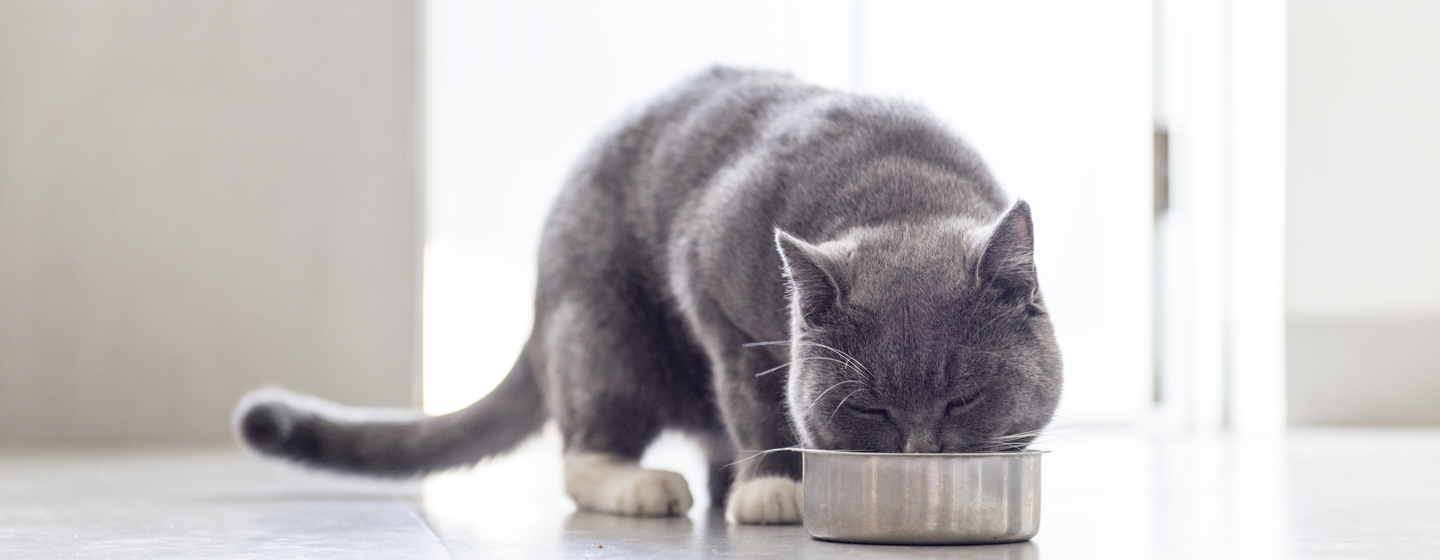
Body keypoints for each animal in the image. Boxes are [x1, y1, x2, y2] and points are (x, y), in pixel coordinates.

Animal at [236, 66, 1065, 524]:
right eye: (870, 409)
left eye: (964, 397)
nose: (922, 453)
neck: (901, 192)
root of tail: (538, 311)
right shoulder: (713, 292)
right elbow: (755, 398)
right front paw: (775, 487)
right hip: (605, 330)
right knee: (586, 446)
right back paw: (646, 484)